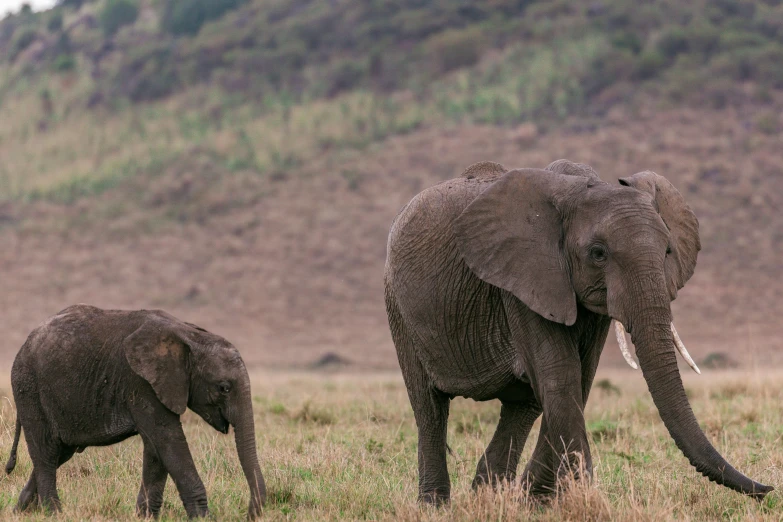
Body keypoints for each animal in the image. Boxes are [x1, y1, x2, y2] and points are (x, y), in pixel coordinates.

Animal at [3, 302, 266, 516]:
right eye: (224, 388)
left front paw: (145, 516)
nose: (250, 513)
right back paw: (54, 513)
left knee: (59, 452)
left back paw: (20, 512)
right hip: (29, 387)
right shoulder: (140, 382)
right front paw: (202, 518)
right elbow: (167, 440)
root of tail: (25, 343)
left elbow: (155, 449)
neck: (190, 335)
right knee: (46, 453)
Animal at [384, 159, 772, 504]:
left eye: (667, 250)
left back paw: (489, 496)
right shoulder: (523, 281)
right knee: (430, 408)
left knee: (523, 405)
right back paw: (436, 504)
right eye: (598, 254)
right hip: (398, 309)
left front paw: (538, 499)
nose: (768, 489)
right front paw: (564, 498)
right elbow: (562, 377)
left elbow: (579, 380)